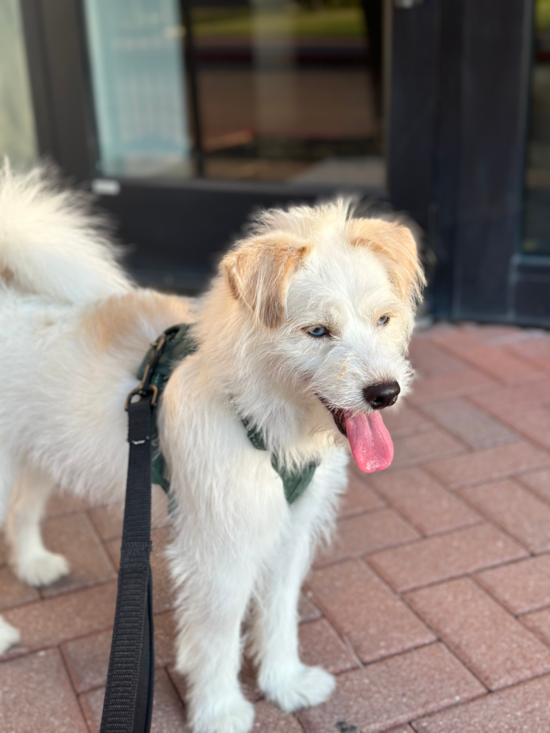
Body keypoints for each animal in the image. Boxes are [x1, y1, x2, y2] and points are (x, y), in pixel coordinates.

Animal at [0, 166, 424, 732]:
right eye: (317, 331)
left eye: (383, 320)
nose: (384, 393)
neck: (255, 412)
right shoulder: (219, 551)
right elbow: (218, 636)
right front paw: (220, 710)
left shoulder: (289, 534)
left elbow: (278, 616)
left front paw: (285, 683)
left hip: (38, 456)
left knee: (22, 513)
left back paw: (35, 565)